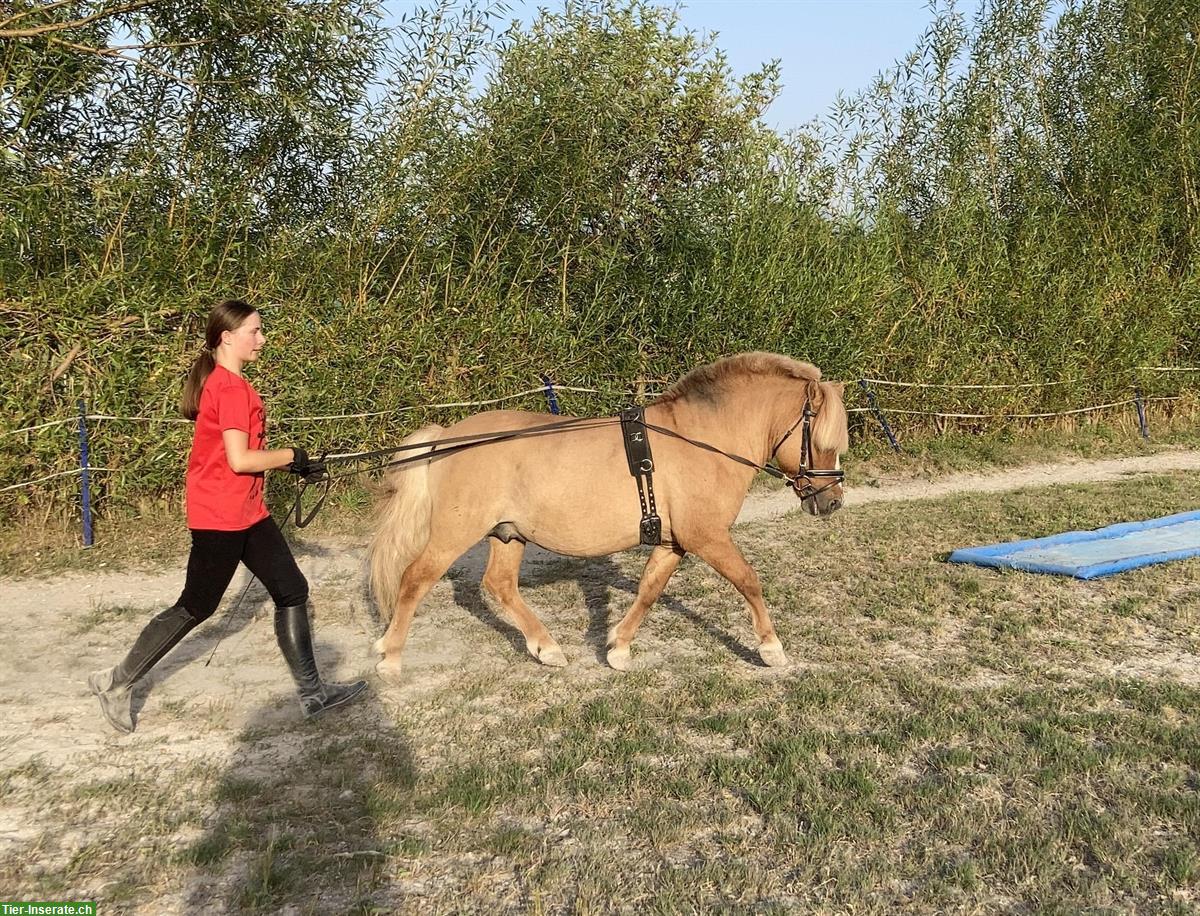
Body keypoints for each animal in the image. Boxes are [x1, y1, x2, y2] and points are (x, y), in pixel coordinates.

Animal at [369, 350, 849, 681]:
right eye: (820, 440)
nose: (831, 502)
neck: (701, 439)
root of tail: (447, 436)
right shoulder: (707, 536)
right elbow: (748, 580)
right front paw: (771, 648)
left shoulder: (675, 542)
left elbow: (650, 589)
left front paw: (618, 648)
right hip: (455, 532)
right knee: (414, 579)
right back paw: (390, 658)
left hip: (508, 533)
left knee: (500, 585)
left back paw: (547, 648)